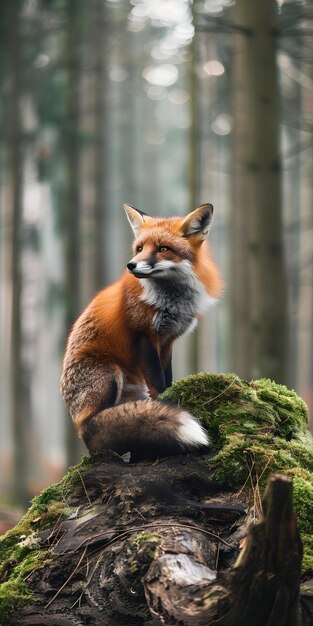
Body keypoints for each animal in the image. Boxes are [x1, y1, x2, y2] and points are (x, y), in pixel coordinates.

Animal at [61, 204, 221, 458]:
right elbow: (157, 383)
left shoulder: (167, 341)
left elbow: (167, 378)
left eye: (163, 249)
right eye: (139, 248)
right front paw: (166, 405)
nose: (131, 265)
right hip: (109, 374)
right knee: (92, 431)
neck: (172, 302)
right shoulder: (143, 336)